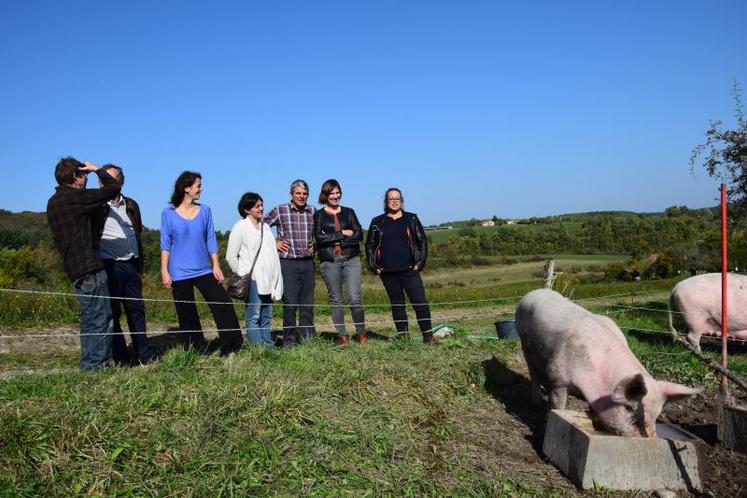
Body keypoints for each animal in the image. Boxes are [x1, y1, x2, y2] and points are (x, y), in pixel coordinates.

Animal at [516, 290, 700, 438]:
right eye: (633, 412)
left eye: (656, 416)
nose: (651, 439)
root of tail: (532, 293)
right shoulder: (557, 377)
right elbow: (558, 405)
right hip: (523, 342)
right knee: (532, 371)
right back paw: (535, 402)